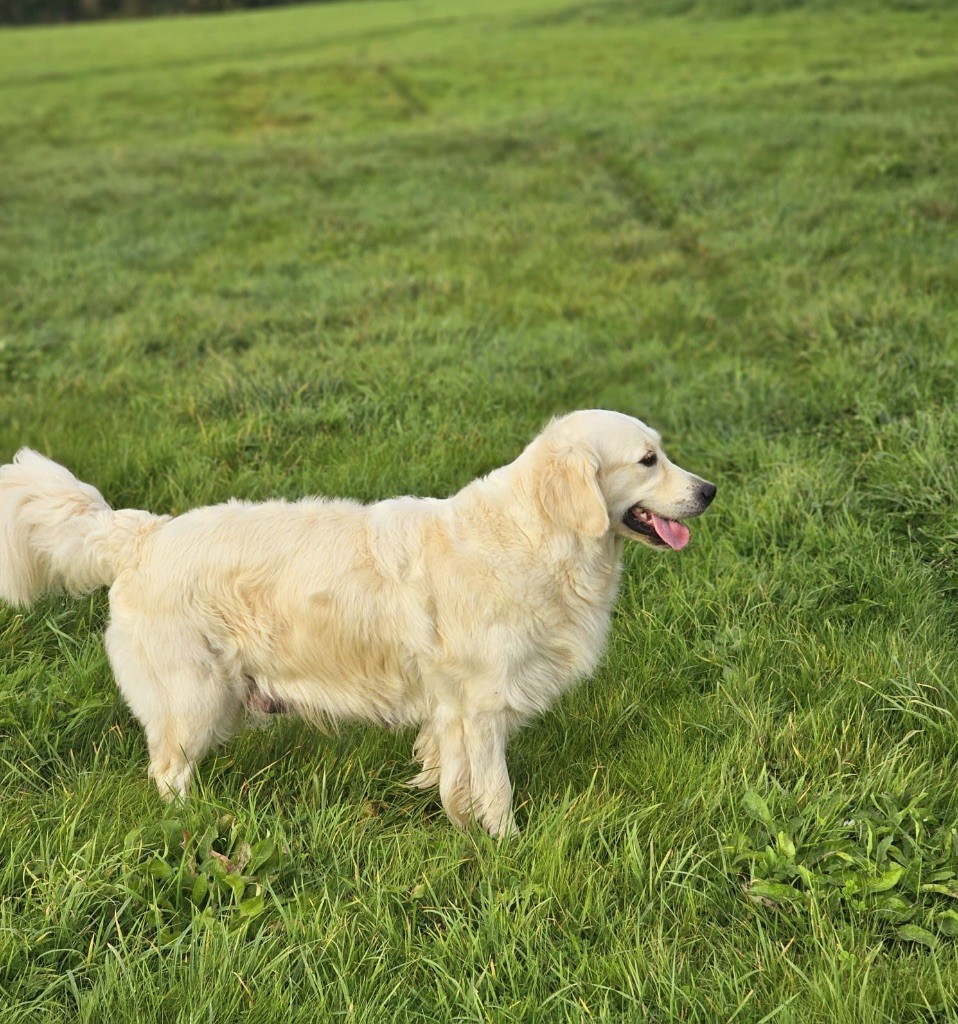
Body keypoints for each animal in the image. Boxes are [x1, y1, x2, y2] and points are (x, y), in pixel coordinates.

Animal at [0, 407, 712, 831]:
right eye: (648, 460)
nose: (710, 490)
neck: (537, 536)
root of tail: (141, 535)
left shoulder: (453, 710)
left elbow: (451, 775)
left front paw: (454, 820)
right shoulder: (482, 704)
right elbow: (496, 790)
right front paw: (507, 847)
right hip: (194, 695)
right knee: (167, 770)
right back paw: (201, 825)